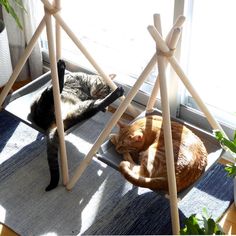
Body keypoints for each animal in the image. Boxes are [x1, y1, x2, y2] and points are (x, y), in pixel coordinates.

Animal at [30, 60, 124, 191]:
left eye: (102, 93)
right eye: (101, 86)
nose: (96, 94)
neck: (87, 86)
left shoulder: (89, 98)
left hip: (75, 106)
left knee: (55, 88)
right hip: (81, 108)